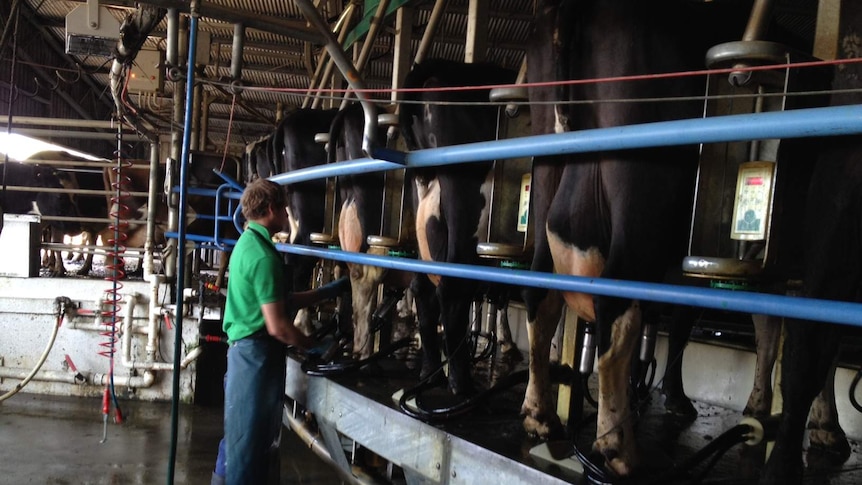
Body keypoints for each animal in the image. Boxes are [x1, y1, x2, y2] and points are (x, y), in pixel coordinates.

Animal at [520, 0, 756, 476]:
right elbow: (681, 323)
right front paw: (676, 398)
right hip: (642, 176)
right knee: (615, 304)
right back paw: (618, 449)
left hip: (548, 171)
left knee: (540, 291)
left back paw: (541, 416)